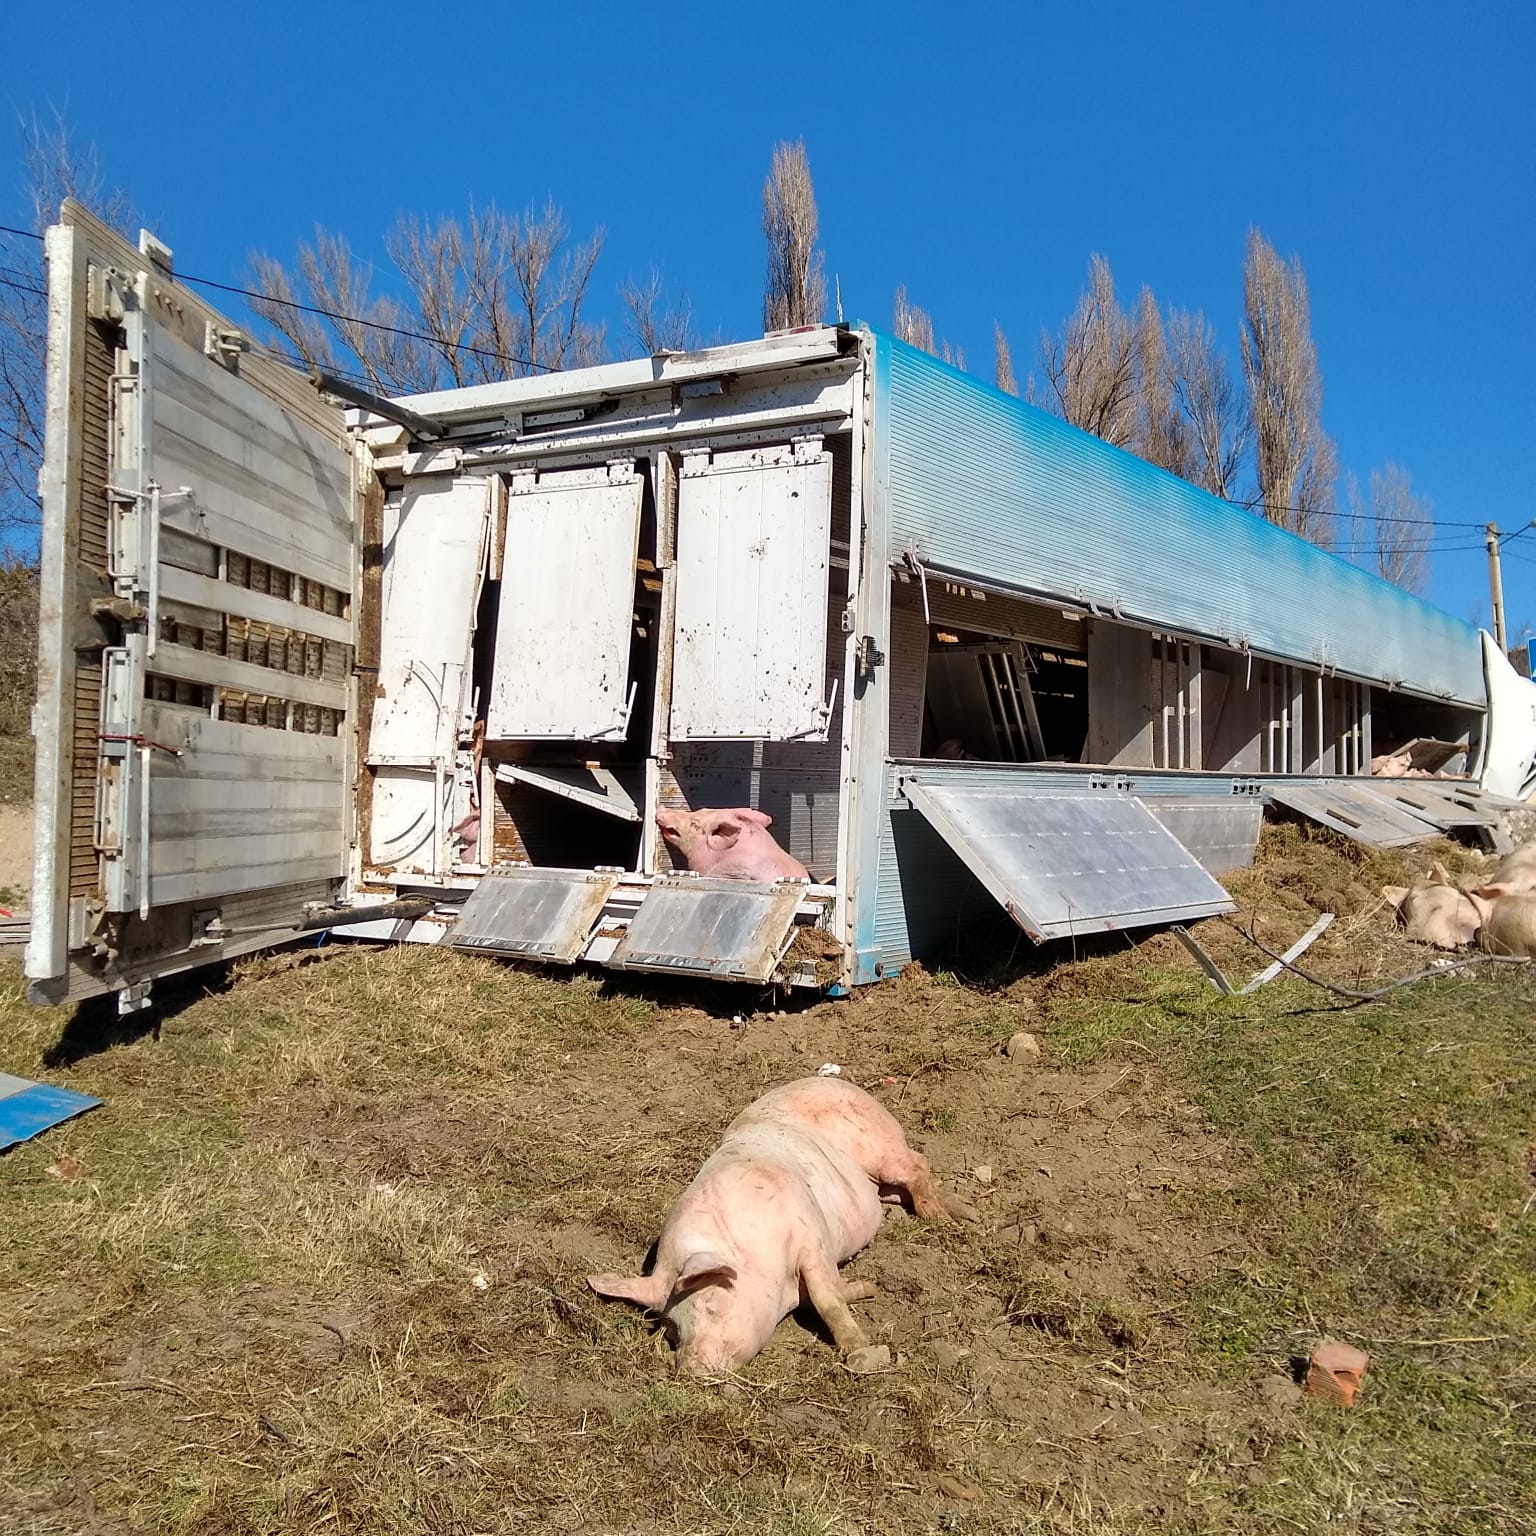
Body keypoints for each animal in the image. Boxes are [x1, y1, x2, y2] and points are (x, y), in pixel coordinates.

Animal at [586, 1075, 970, 1376]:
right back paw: (964, 1213)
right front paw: (869, 1288)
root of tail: (839, 1082)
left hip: (879, 1146)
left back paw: (948, 1219)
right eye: (672, 1329)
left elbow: (827, 1298)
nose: (690, 1370)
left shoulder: (810, 1235)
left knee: (918, 1165)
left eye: (710, 1303)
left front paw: (859, 1351)